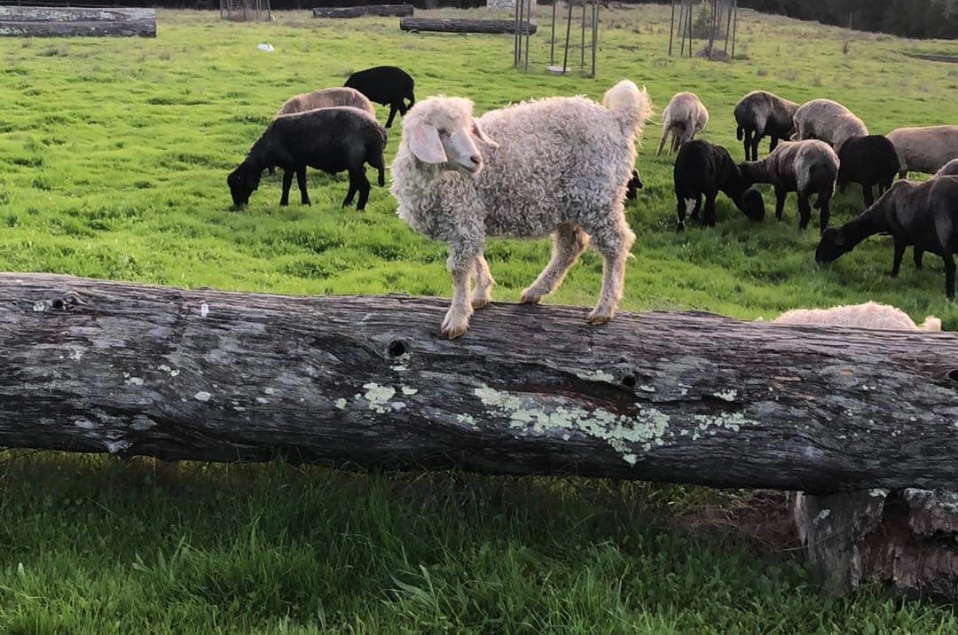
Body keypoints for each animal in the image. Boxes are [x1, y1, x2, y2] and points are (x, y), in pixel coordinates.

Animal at [228, 107, 386, 211]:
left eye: (238, 186)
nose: (238, 206)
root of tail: (379, 130)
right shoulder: (300, 163)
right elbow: (302, 183)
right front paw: (306, 203)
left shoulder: (290, 164)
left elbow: (286, 184)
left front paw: (283, 204)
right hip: (355, 164)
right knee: (355, 184)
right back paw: (345, 204)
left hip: (354, 162)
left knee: (364, 186)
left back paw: (359, 208)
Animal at [390, 80, 652, 338]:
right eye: (442, 132)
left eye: (468, 128)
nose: (476, 159)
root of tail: (617, 119)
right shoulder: (468, 218)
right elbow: (475, 255)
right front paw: (480, 295)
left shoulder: (463, 213)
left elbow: (459, 268)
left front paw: (456, 319)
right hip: (568, 204)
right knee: (570, 247)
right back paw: (535, 291)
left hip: (597, 197)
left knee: (616, 244)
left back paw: (604, 308)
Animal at [816, 178, 958, 300]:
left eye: (829, 243)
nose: (817, 259)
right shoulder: (919, 240)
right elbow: (917, 258)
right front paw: (919, 274)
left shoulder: (899, 236)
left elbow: (897, 258)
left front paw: (893, 275)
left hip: (944, 235)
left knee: (951, 266)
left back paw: (949, 296)